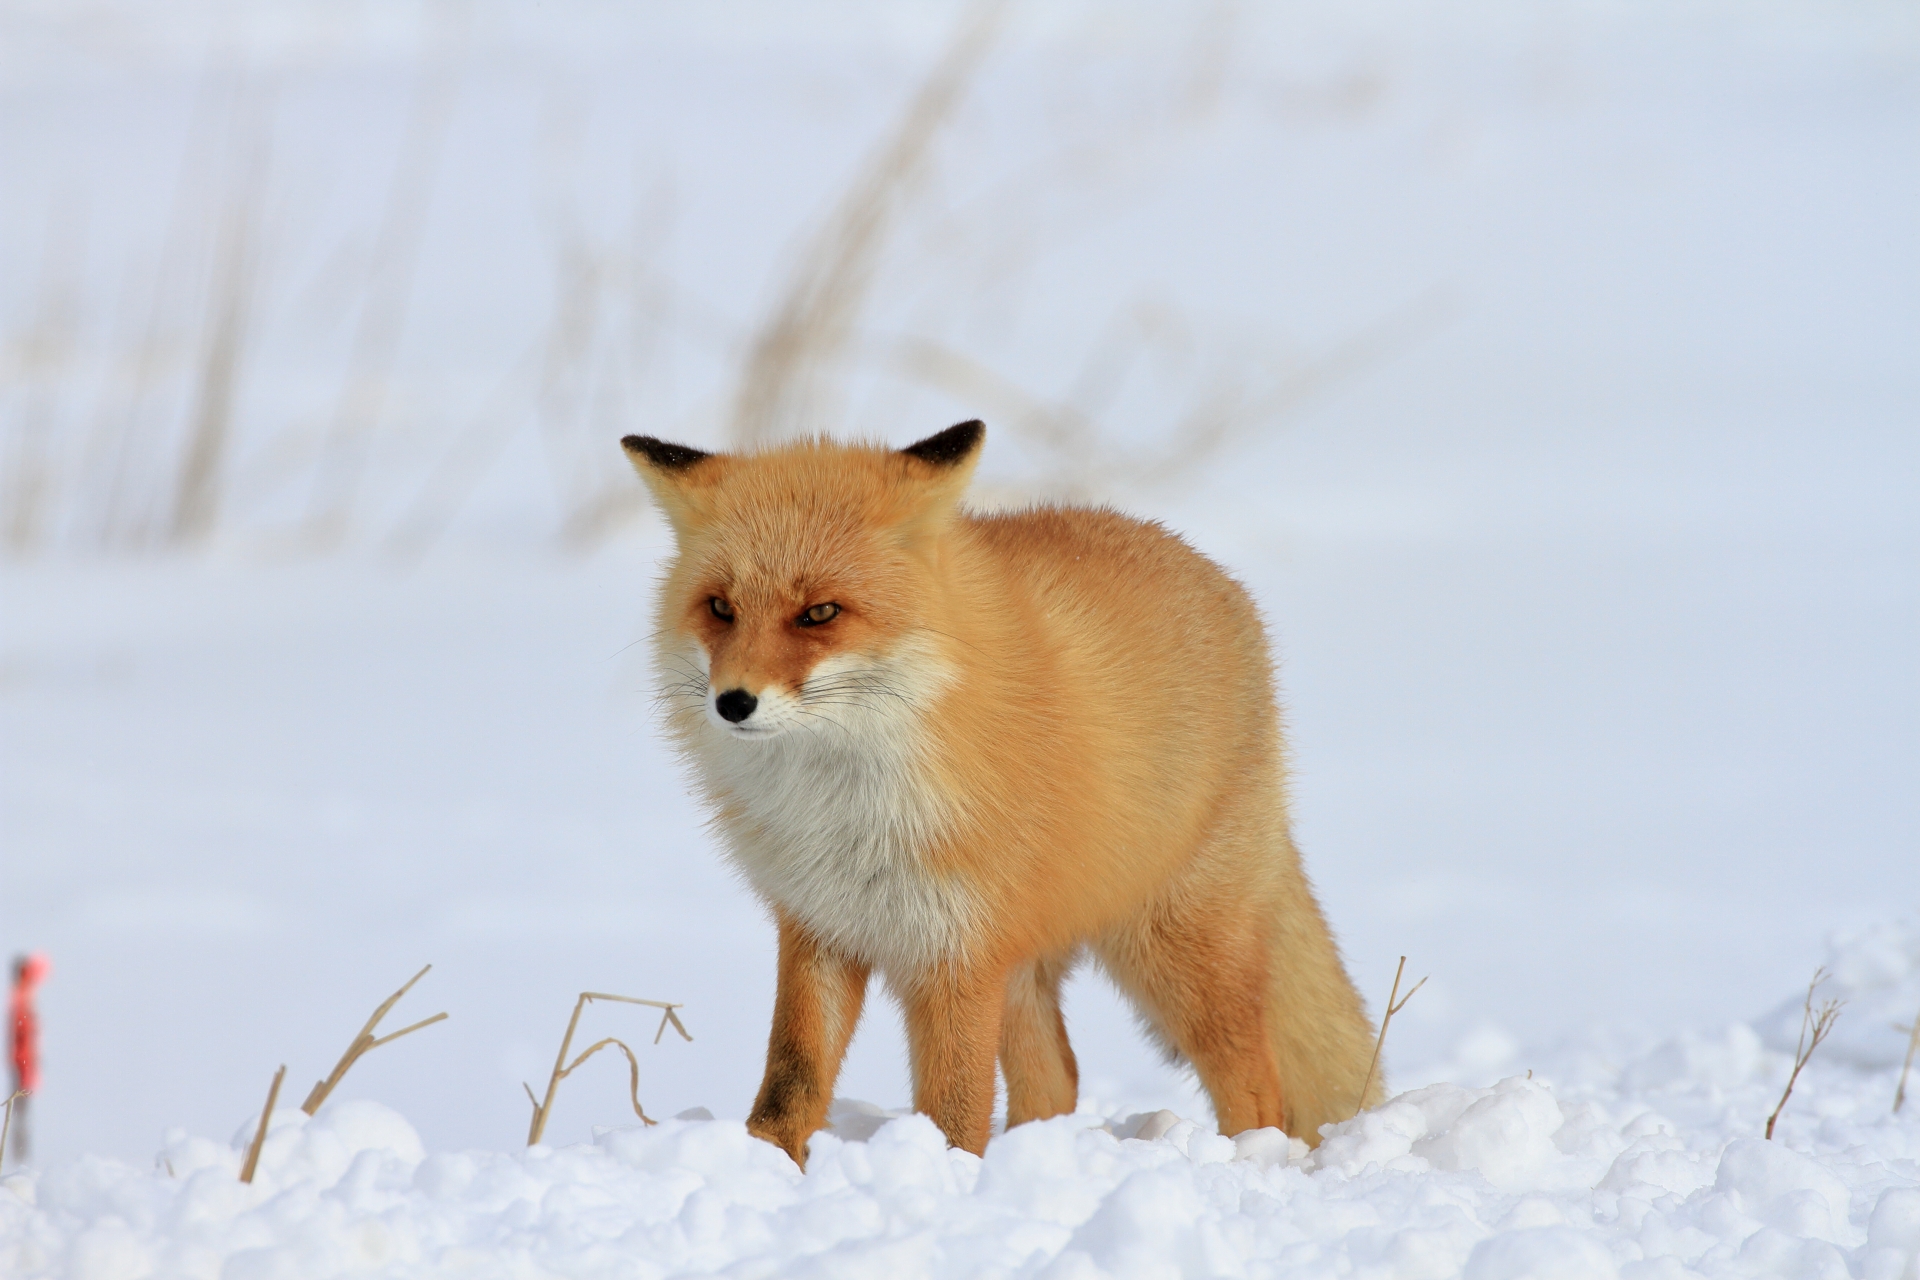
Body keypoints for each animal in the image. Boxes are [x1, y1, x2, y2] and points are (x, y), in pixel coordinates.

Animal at [625, 426, 1382, 1166]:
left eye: (820, 613)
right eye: (720, 608)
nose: (733, 703)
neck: (842, 810)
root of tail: (1215, 577)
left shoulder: (956, 949)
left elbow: (954, 1106)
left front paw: (945, 1177)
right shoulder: (822, 926)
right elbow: (790, 1083)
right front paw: (761, 1168)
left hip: (1173, 945)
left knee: (1254, 1084)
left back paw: (1247, 1161)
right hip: (1027, 963)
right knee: (1058, 1077)